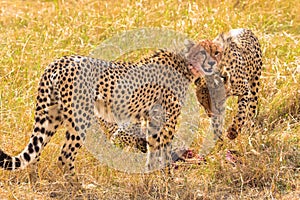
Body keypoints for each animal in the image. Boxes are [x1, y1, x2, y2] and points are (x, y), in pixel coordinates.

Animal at [0, 39, 218, 184]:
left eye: (216, 52)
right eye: (204, 52)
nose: (212, 63)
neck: (185, 64)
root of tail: (60, 61)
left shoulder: (151, 120)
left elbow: (152, 151)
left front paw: (151, 178)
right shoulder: (165, 121)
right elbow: (162, 151)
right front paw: (168, 181)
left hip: (51, 115)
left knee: (35, 153)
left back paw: (36, 182)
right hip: (80, 119)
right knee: (65, 155)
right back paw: (79, 187)